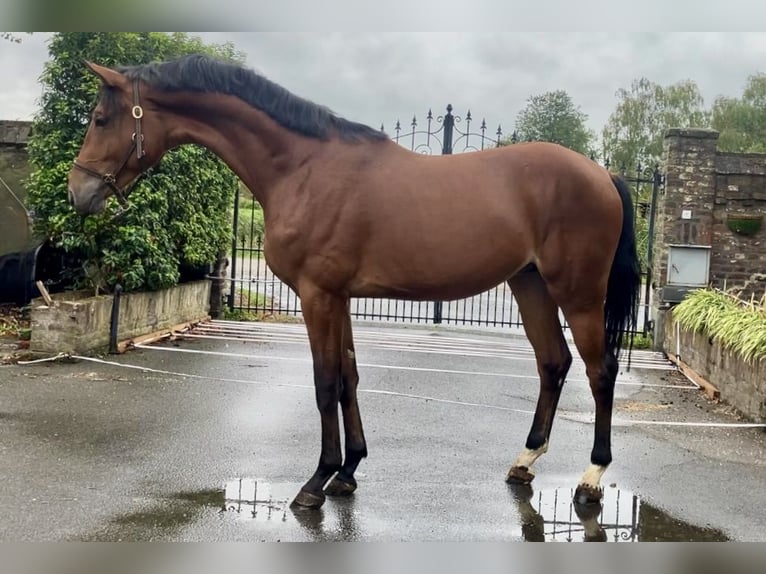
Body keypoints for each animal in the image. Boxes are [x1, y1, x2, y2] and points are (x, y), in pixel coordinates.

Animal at [67, 56, 640, 510]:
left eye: (100, 118)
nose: (77, 192)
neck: (302, 167)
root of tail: (602, 174)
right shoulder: (338, 297)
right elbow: (348, 378)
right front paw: (348, 471)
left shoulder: (317, 296)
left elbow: (325, 383)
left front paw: (315, 481)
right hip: (530, 287)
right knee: (554, 363)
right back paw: (525, 460)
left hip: (578, 294)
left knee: (600, 371)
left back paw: (591, 477)